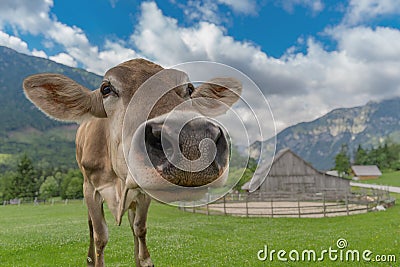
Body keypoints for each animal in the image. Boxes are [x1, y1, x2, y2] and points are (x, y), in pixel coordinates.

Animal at [23, 59, 242, 267]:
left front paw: (143, 259)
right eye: (106, 89)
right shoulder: (89, 188)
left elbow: (139, 228)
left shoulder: (143, 195)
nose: (192, 140)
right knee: (91, 227)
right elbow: (100, 236)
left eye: (189, 89)